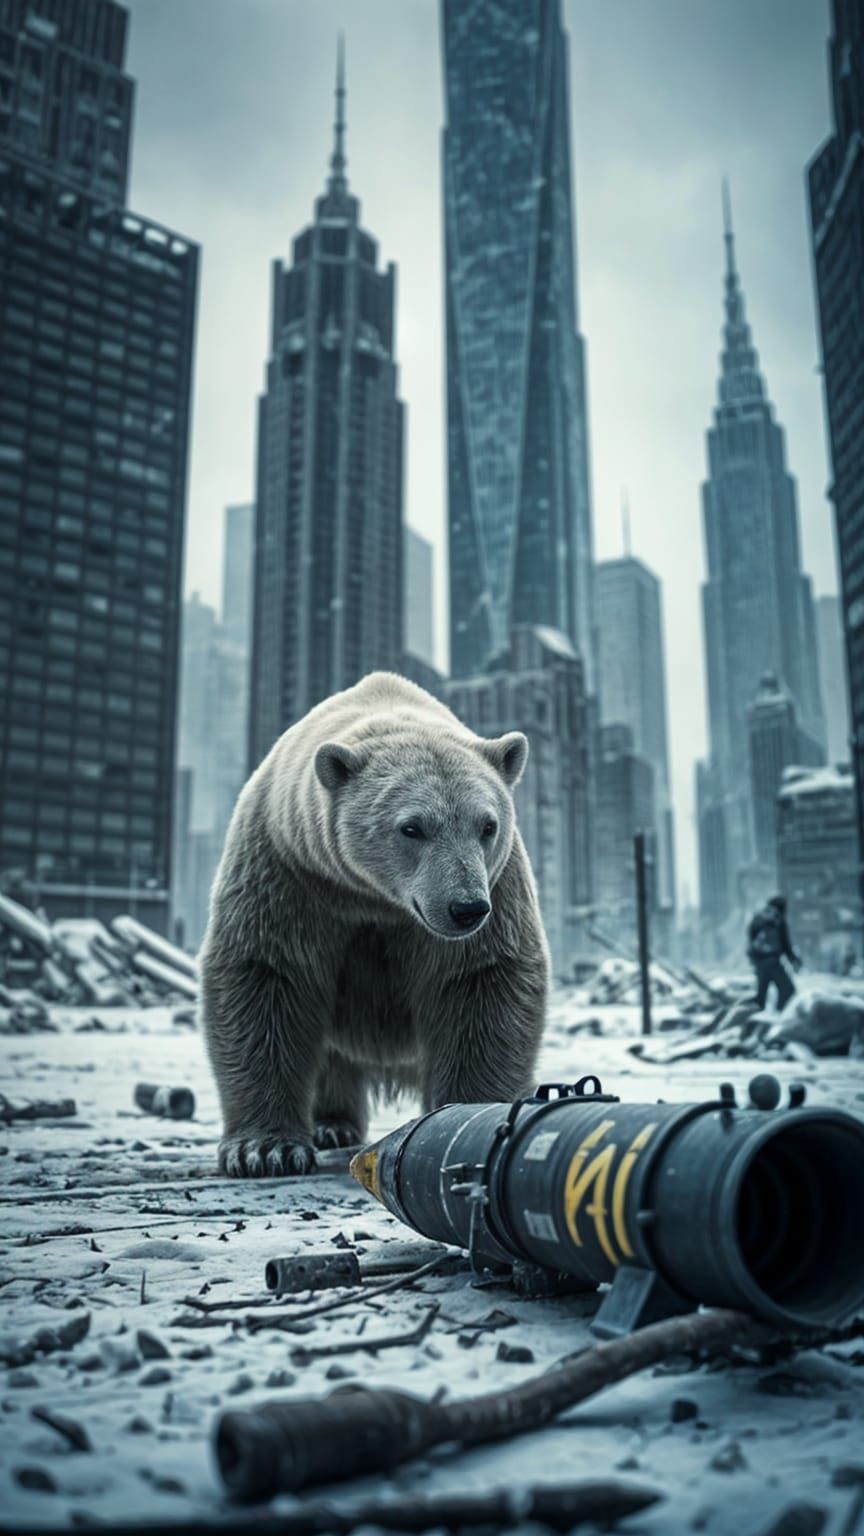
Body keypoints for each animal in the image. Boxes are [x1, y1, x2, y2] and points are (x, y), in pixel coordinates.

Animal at [199, 671, 550, 1177]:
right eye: (412, 827)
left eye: (487, 825)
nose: (466, 907)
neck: (374, 898)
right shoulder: (288, 875)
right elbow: (267, 978)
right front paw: (265, 1149)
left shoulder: (497, 889)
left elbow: (481, 985)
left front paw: (472, 1116)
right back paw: (331, 1124)